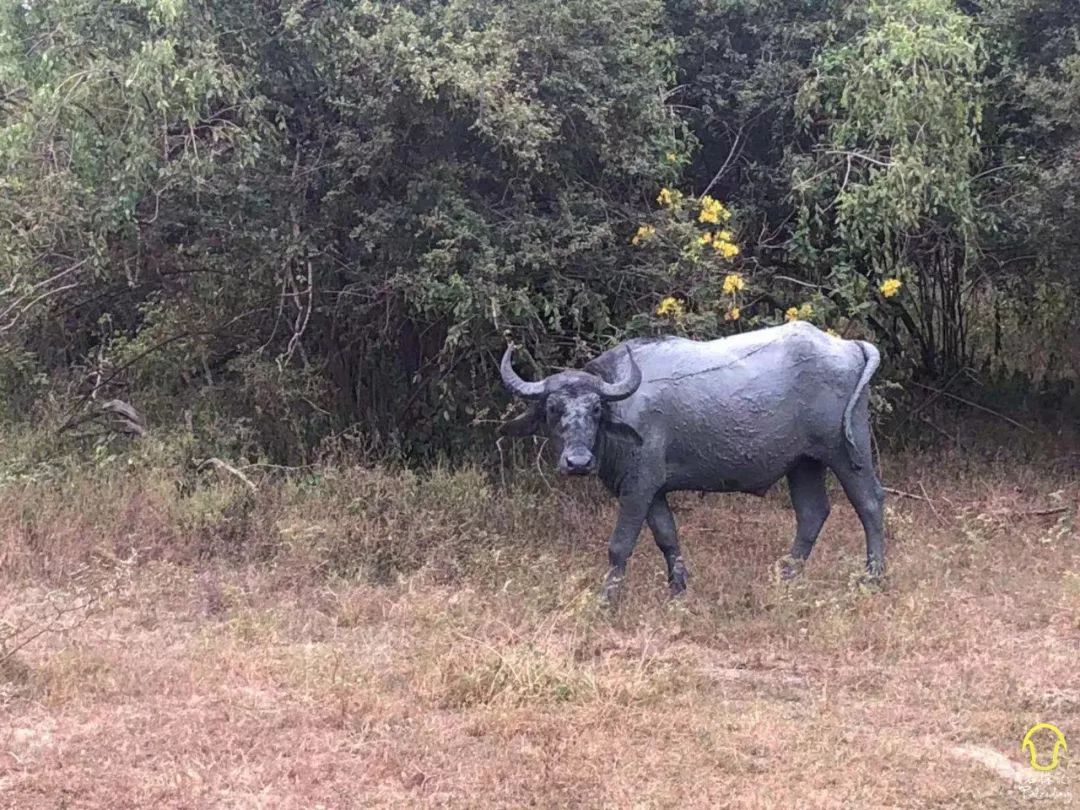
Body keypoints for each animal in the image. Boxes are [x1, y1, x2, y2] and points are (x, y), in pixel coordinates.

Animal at [496, 324, 885, 604]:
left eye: (595, 409)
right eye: (553, 408)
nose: (578, 461)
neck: (622, 409)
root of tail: (850, 346)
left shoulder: (637, 489)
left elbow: (619, 545)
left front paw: (607, 599)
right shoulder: (653, 492)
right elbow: (667, 537)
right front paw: (678, 589)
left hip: (848, 454)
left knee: (869, 504)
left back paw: (874, 577)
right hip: (803, 464)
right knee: (812, 513)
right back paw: (787, 577)